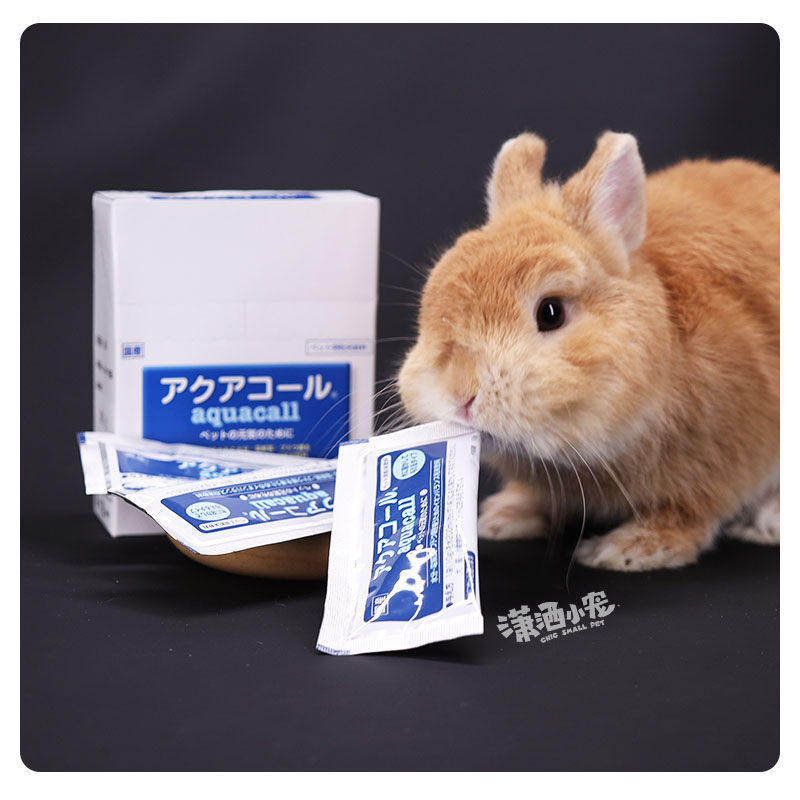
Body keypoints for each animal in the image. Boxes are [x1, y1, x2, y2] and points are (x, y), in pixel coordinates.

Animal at [397, 131, 779, 571]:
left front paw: (627, 551)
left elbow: (687, 513)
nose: (460, 394)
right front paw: (503, 517)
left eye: (551, 312)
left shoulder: (720, 464)